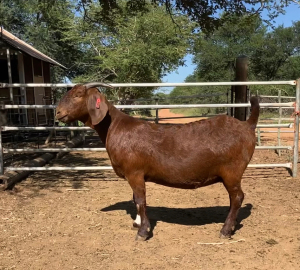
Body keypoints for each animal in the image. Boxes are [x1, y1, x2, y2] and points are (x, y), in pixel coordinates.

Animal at [56, 82, 260, 240]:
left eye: (78, 95)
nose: (58, 113)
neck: (115, 127)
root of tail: (247, 125)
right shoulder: (134, 174)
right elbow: (135, 199)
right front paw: (137, 222)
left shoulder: (135, 172)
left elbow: (140, 200)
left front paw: (143, 232)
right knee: (234, 198)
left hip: (232, 171)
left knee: (237, 197)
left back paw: (225, 230)